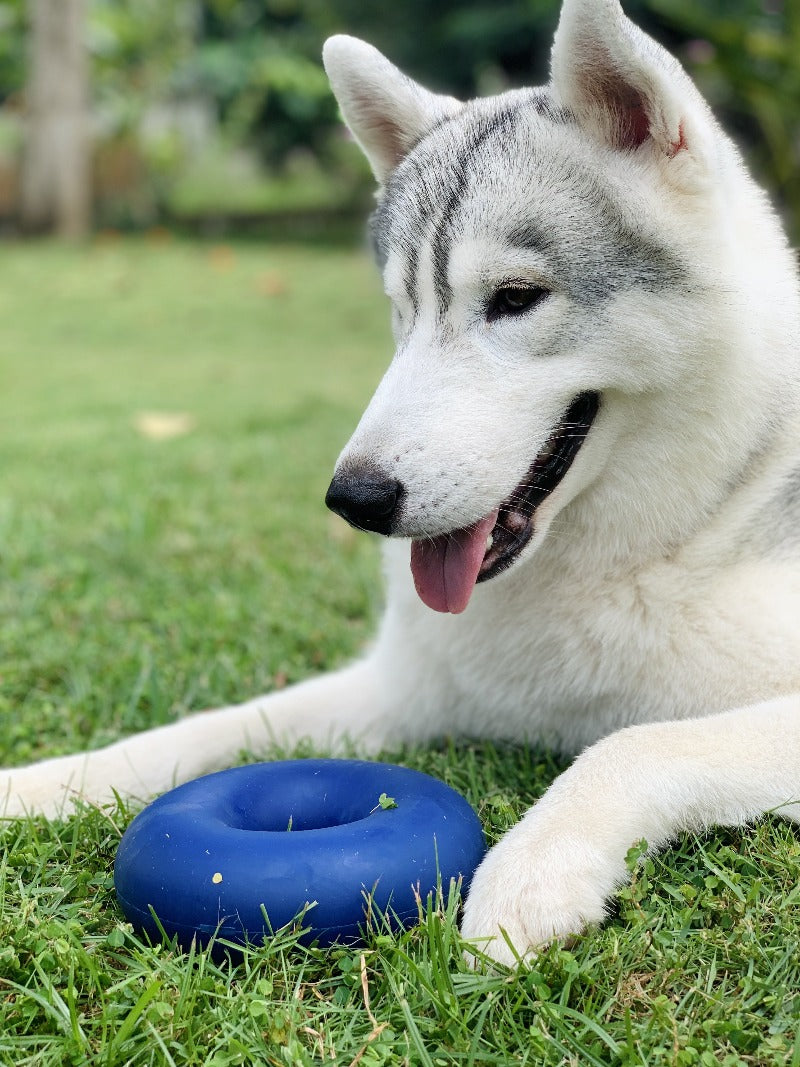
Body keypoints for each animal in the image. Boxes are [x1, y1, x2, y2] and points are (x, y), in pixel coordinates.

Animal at [1, 0, 800, 968]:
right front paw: (47, 782)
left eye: (516, 297)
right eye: (400, 310)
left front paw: (534, 866)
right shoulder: (395, 688)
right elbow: (205, 729)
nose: (356, 499)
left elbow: (633, 744)